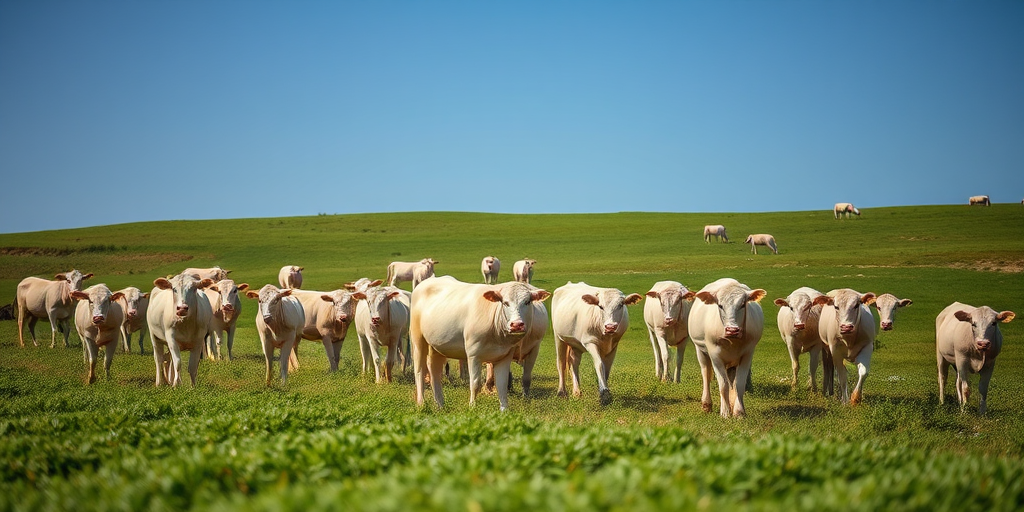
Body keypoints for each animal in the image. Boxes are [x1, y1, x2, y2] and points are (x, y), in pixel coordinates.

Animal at [410, 276, 550, 411]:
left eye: (527, 302)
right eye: (505, 303)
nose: (516, 324)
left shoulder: (504, 357)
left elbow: (502, 384)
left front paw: (504, 410)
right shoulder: (474, 355)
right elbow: (475, 383)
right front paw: (472, 407)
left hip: (437, 347)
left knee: (434, 371)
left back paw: (440, 404)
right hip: (418, 340)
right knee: (419, 371)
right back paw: (421, 403)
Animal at [688, 278, 766, 418]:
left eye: (742, 304)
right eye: (720, 305)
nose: (732, 330)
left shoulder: (747, 354)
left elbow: (739, 384)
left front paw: (739, 411)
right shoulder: (715, 355)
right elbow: (723, 384)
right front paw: (725, 412)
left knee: (731, 381)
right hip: (701, 351)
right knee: (706, 374)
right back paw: (707, 404)